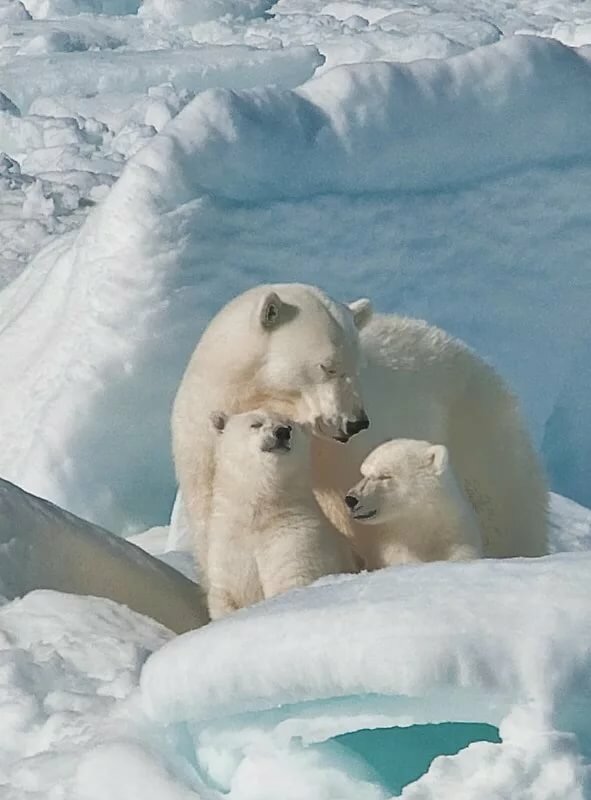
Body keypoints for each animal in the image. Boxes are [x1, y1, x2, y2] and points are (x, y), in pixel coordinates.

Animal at [205, 409, 357, 619]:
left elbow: (290, 579)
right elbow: (227, 593)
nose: (282, 432)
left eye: (290, 425)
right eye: (256, 424)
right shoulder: (228, 545)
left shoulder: (296, 535)